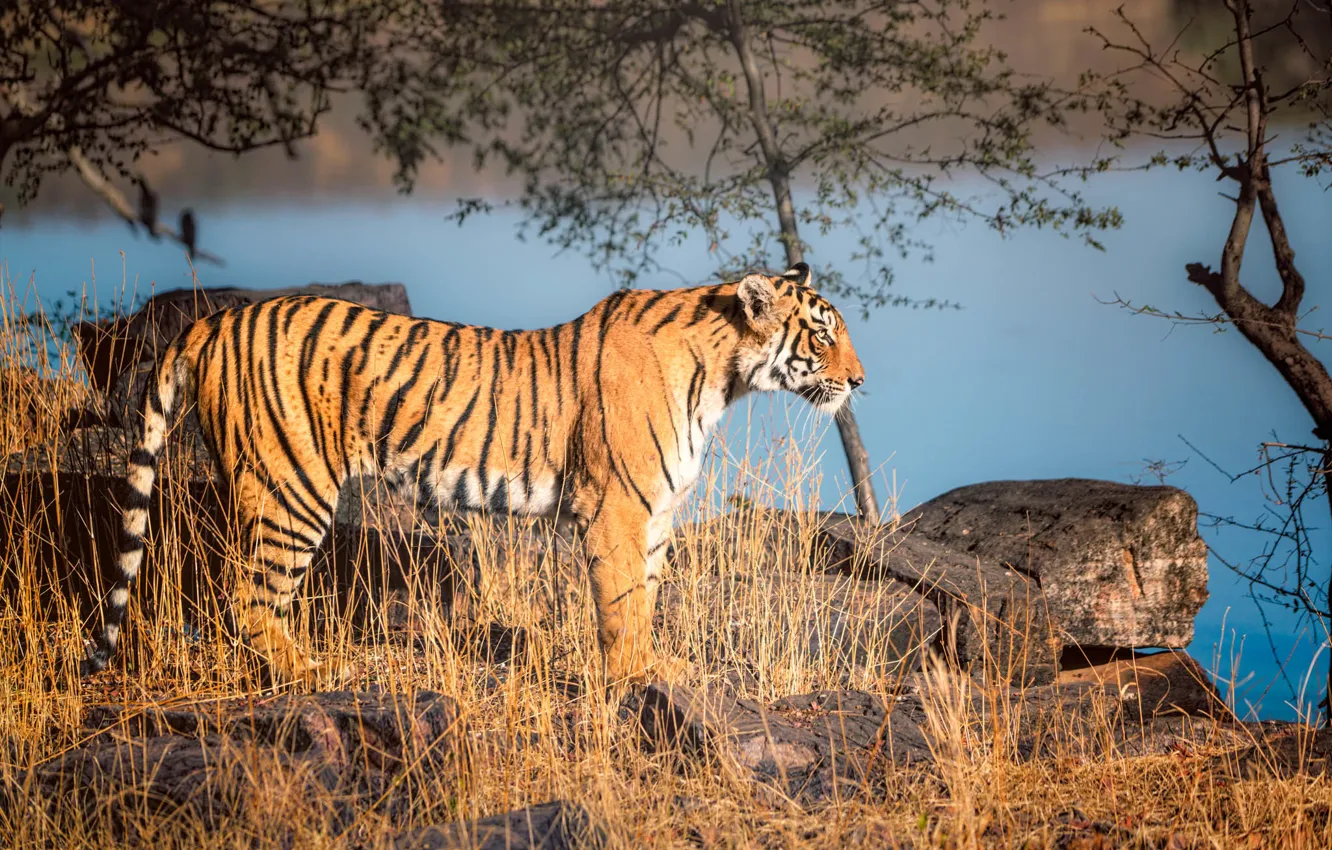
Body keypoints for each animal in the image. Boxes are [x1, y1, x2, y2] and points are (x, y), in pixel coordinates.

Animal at [79, 262, 866, 686]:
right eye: (823, 332)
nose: (860, 380)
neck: (727, 376)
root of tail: (215, 320)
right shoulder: (616, 507)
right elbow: (621, 604)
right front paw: (633, 680)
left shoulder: (657, 511)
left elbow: (646, 596)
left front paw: (656, 671)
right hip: (289, 487)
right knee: (248, 597)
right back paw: (318, 674)